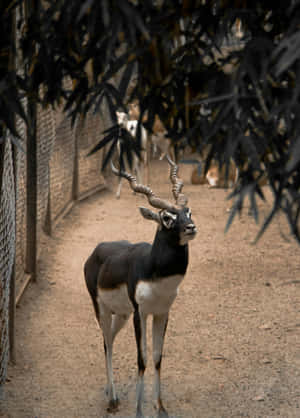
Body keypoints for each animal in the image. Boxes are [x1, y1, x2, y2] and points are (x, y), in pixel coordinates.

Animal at [84, 158, 197, 418]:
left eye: (188, 211)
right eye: (167, 217)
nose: (191, 227)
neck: (155, 272)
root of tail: (96, 251)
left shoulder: (162, 313)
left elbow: (157, 357)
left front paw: (160, 407)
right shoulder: (140, 313)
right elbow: (142, 358)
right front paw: (139, 411)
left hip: (121, 314)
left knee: (110, 340)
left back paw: (109, 390)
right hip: (102, 309)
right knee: (106, 340)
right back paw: (113, 400)